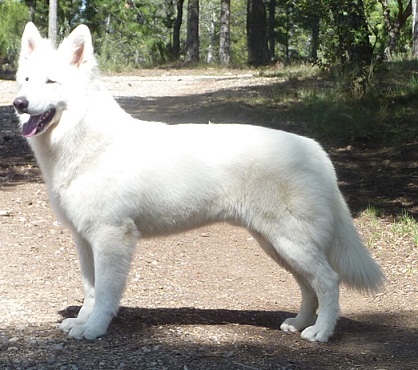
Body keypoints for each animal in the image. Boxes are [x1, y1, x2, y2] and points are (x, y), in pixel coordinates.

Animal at [13, 22, 386, 342]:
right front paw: (81, 321)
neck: (85, 141)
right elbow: (89, 291)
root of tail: (314, 149)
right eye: (26, 80)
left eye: (50, 82)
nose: (17, 103)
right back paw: (298, 323)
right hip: (277, 244)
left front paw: (94, 329)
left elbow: (104, 292)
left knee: (328, 281)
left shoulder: (112, 237)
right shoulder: (84, 240)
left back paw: (321, 332)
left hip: (291, 242)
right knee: (309, 287)